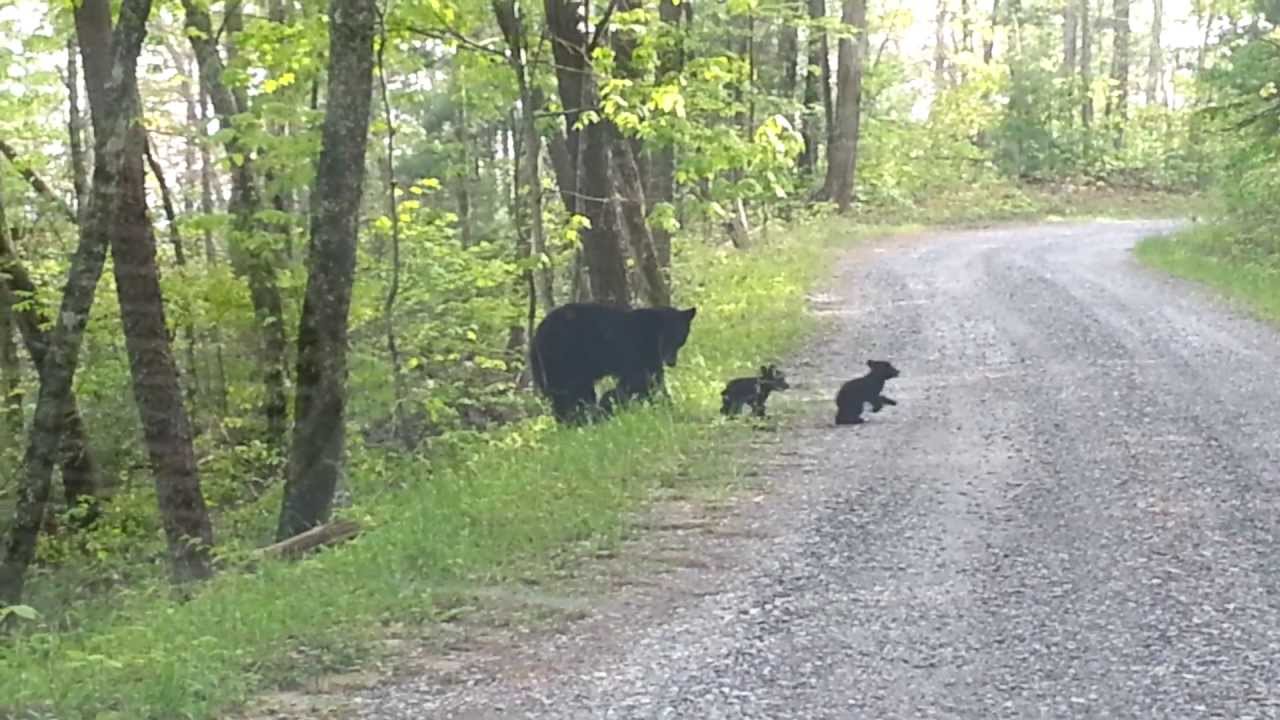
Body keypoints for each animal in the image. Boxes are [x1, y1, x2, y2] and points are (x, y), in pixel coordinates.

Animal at [530, 303, 698, 424]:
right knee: (567, 393)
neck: (652, 336)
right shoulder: (636, 350)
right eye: (668, 337)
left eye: (681, 338)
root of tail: (537, 335)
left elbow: (653, 381)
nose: (671, 362)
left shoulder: (651, 358)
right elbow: (639, 380)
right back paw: (578, 420)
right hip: (563, 359)